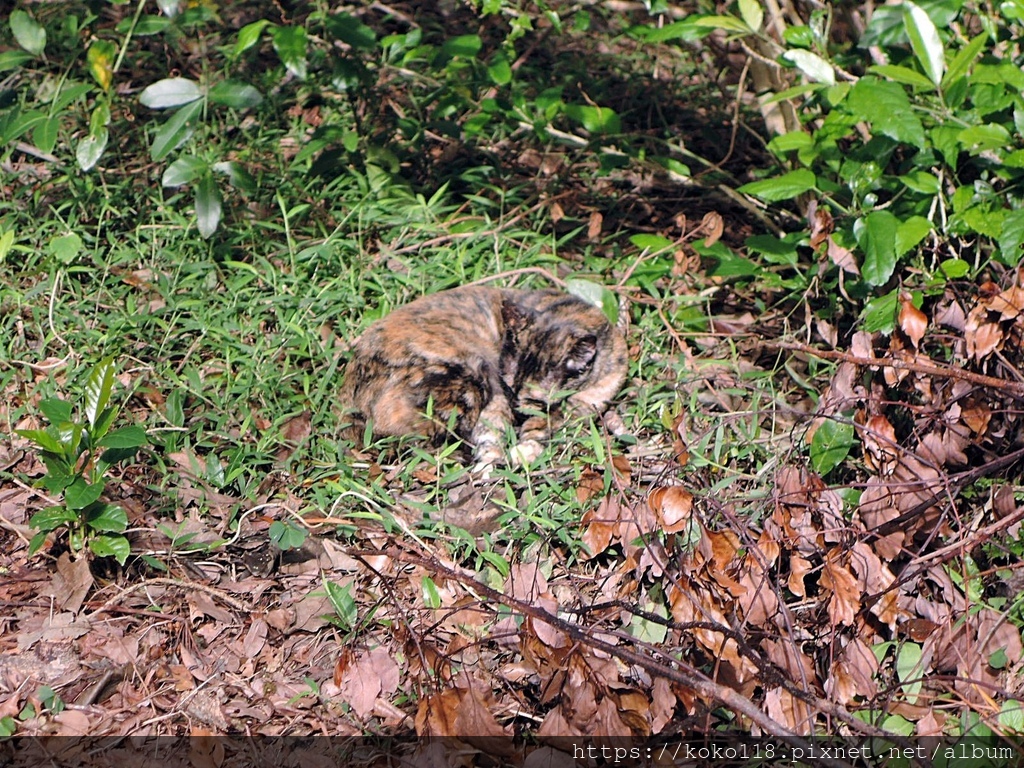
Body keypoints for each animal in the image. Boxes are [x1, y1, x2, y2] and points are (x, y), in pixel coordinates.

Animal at [342, 286, 622, 473]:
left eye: (533, 400)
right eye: (508, 387)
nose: (516, 415)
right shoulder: (495, 394)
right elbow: (493, 434)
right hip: (470, 378)